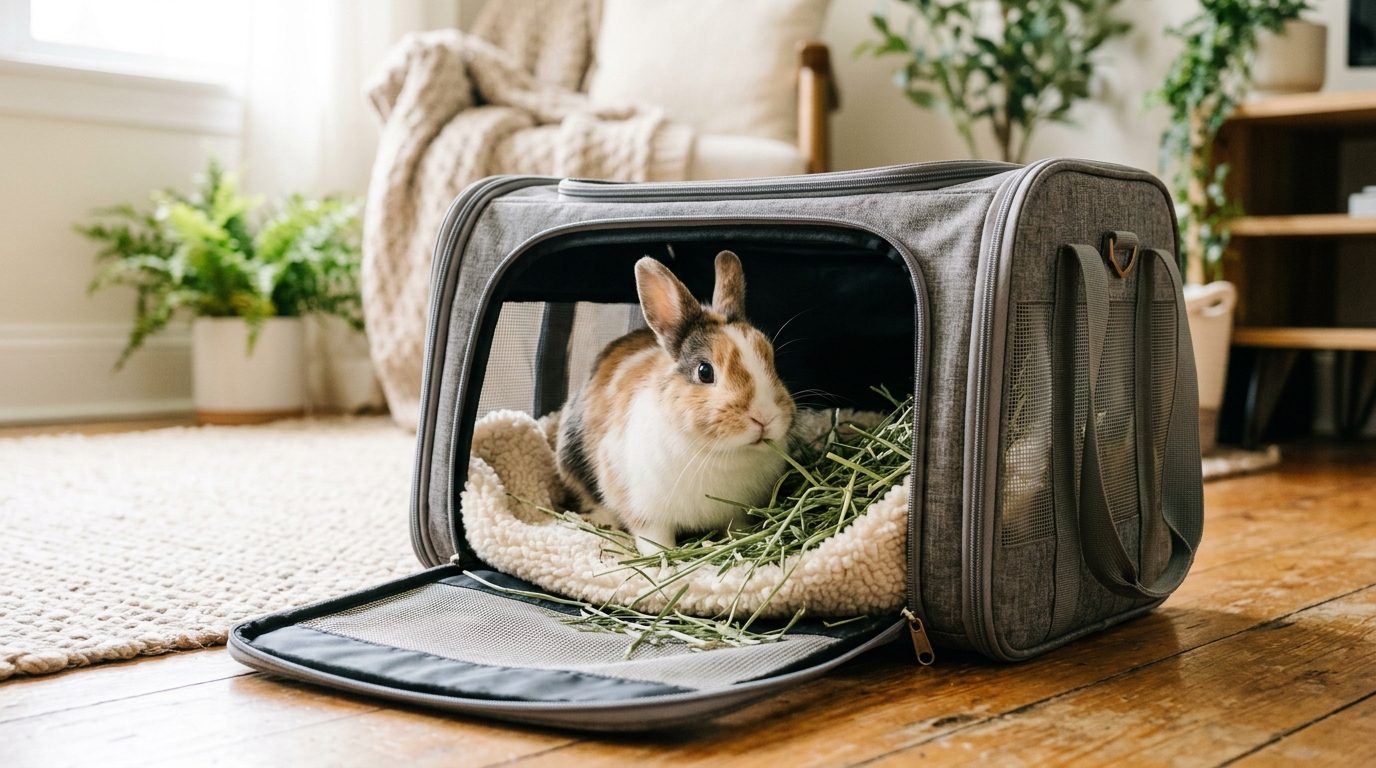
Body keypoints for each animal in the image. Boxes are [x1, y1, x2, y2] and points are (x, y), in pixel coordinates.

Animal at [555, 250, 796, 554]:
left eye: (771, 360)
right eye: (705, 371)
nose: (764, 417)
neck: (719, 453)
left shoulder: (736, 514)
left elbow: (736, 530)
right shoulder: (647, 516)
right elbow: (655, 543)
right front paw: (663, 563)